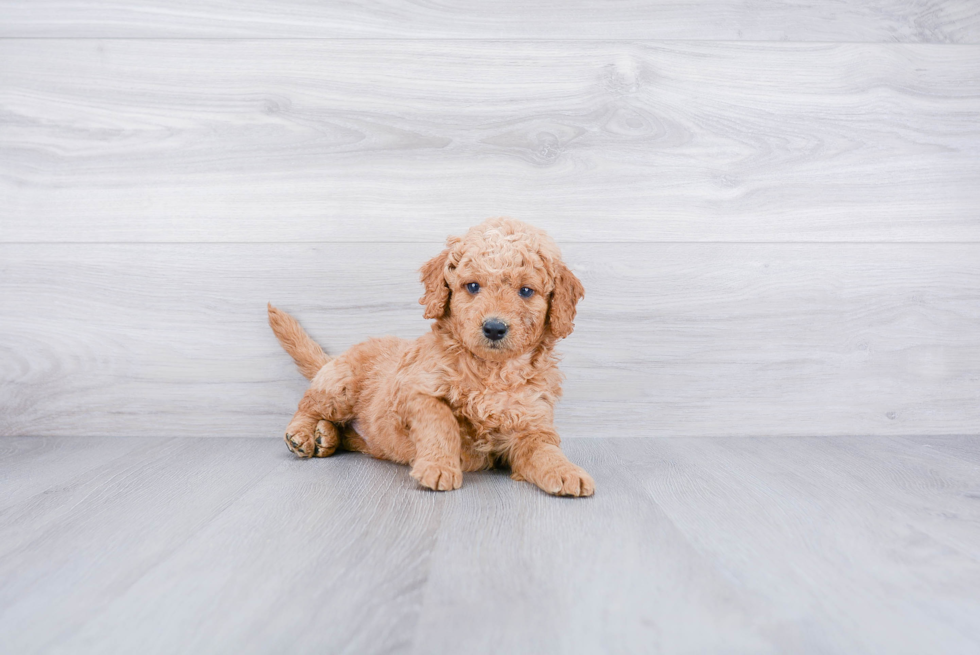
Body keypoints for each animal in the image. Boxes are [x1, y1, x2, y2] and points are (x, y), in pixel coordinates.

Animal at [264, 218, 592, 494]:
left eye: (526, 291)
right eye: (472, 286)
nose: (494, 328)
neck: (492, 372)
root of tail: (333, 361)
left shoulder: (532, 422)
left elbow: (544, 448)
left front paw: (566, 471)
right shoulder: (417, 391)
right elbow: (441, 421)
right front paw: (439, 467)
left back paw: (326, 437)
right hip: (340, 386)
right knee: (308, 403)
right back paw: (302, 434)